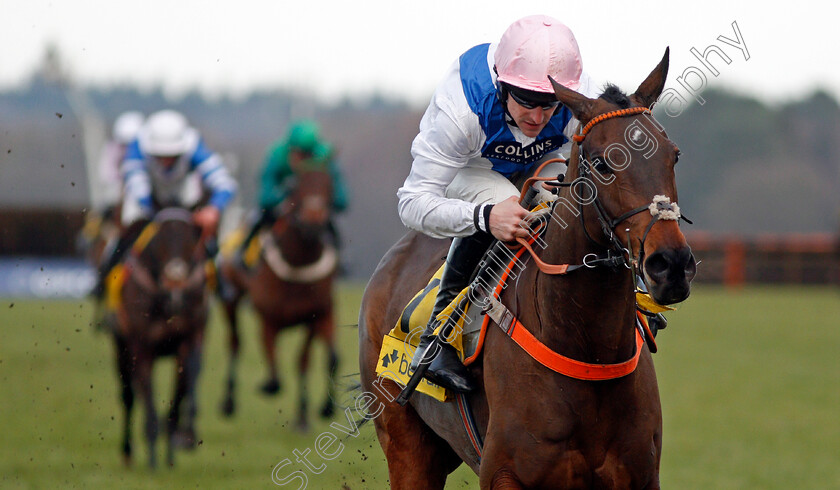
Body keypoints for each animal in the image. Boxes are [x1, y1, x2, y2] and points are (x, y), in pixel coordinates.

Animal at [110, 207, 210, 468]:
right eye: (158, 241)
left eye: (191, 240)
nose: (175, 279)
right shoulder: (141, 348)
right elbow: (148, 404)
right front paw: (153, 461)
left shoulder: (187, 342)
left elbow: (181, 395)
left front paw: (176, 448)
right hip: (120, 349)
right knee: (128, 397)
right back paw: (127, 452)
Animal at [223, 164, 342, 428]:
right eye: (297, 185)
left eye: (329, 185)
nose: (314, 222)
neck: (297, 263)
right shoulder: (269, 320)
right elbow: (275, 377)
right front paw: (267, 386)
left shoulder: (314, 316)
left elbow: (306, 360)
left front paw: (307, 415)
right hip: (230, 299)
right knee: (235, 342)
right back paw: (228, 403)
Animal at [358, 47, 692, 488]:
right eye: (603, 163)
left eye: (674, 155)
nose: (672, 264)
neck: (590, 354)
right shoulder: (505, 474)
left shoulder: (639, 475)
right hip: (407, 448)